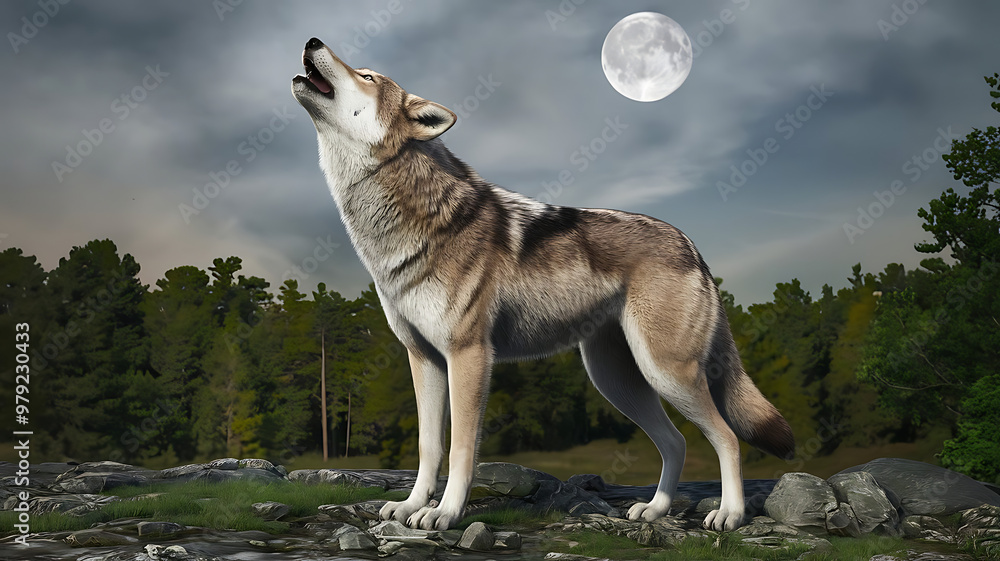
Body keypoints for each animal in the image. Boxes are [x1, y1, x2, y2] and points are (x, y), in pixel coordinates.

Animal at [291, 37, 795, 532]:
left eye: (367, 76)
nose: (312, 40)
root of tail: (692, 245)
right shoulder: (424, 359)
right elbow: (429, 447)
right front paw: (412, 505)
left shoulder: (469, 356)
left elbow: (461, 449)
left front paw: (445, 514)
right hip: (618, 382)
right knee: (676, 442)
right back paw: (654, 510)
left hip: (666, 373)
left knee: (726, 437)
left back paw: (729, 514)